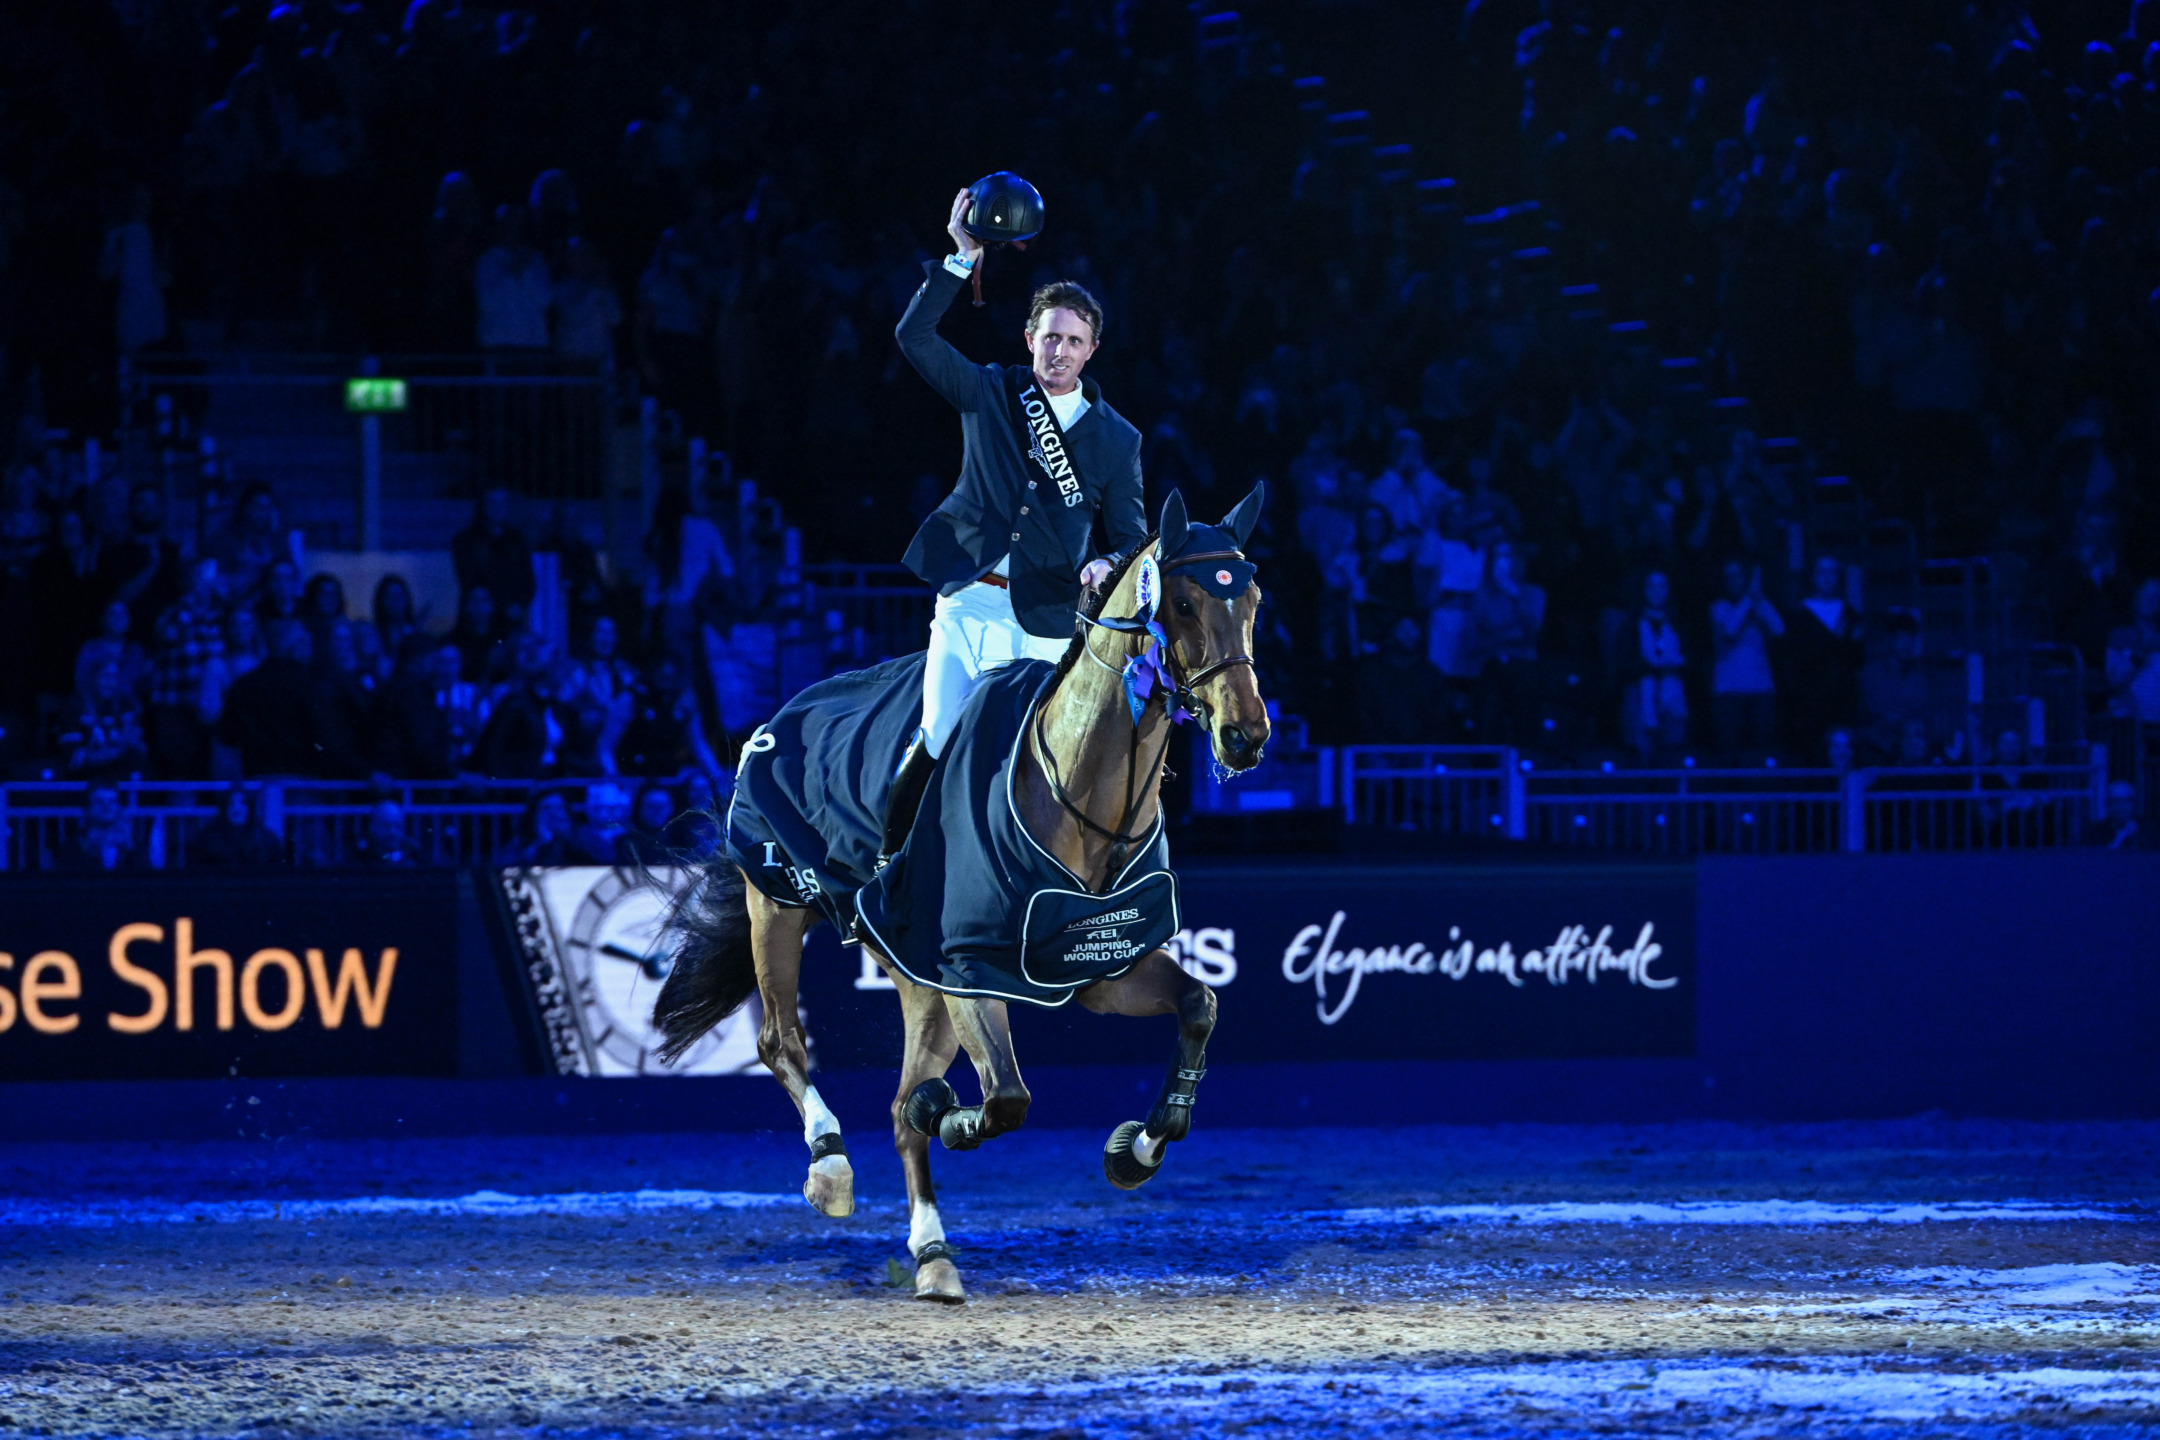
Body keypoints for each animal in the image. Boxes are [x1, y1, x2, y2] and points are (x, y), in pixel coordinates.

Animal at [648, 490, 1270, 1303]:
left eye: (1253, 602)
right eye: (1188, 602)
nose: (1246, 736)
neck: (1077, 789)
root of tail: (790, 709)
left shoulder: (1102, 963)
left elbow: (1201, 1005)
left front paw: (1137, 1147)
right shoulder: (970, 967)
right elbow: (1005, 1099)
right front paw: (950, 1117)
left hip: (917, 978)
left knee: (896, 1108)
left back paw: (933, 1254)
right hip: (777, 905)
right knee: (782, 1042)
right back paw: (832, 1167)